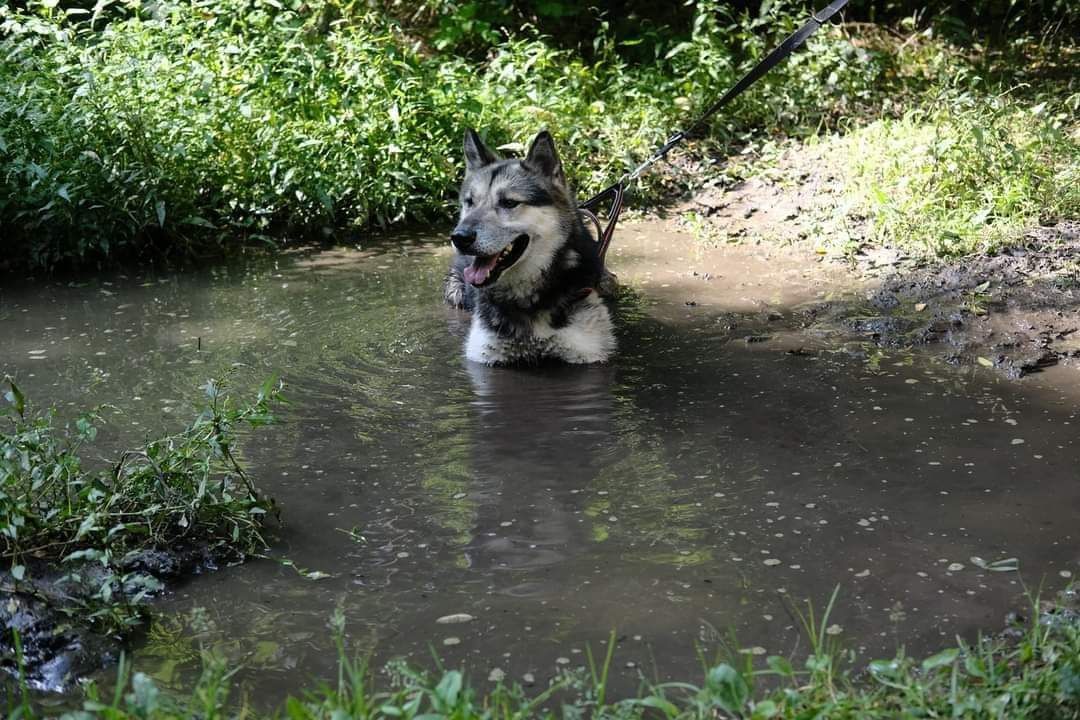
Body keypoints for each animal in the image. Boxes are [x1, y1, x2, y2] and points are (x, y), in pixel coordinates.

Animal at [442, 130, 617, 367]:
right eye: (470, 201)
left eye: (509, 202)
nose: (460, 238)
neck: (527, 300)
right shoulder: (486, 355)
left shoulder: (587, 353)